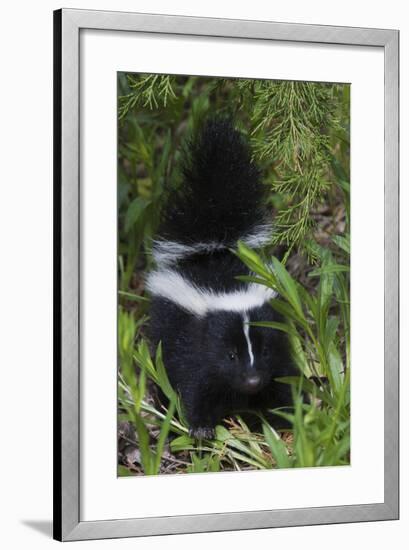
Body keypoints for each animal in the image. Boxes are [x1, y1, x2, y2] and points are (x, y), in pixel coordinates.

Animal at [148, 118, 294, 442]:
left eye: (264, 350)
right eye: (230, 356)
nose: (252, 381)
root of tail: (214, 243)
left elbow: (281, 382)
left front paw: (283, 420)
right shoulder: (194, 350)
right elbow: (195, 387)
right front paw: (201, 429)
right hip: (163, 327)